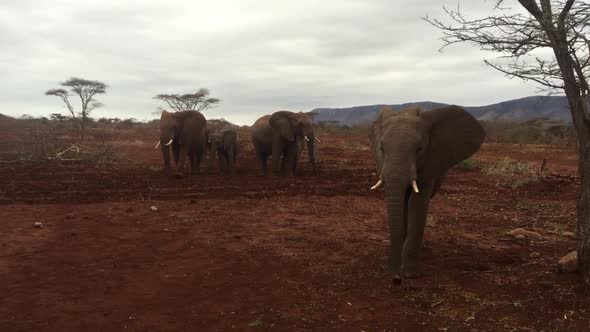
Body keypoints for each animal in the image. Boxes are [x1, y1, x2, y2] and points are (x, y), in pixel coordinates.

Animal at [370, 105, 486, 282]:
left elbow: (417, 204)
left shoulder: (431, 162)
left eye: (419, 149)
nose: (395, 278)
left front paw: (410, 274)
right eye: (382, 149)